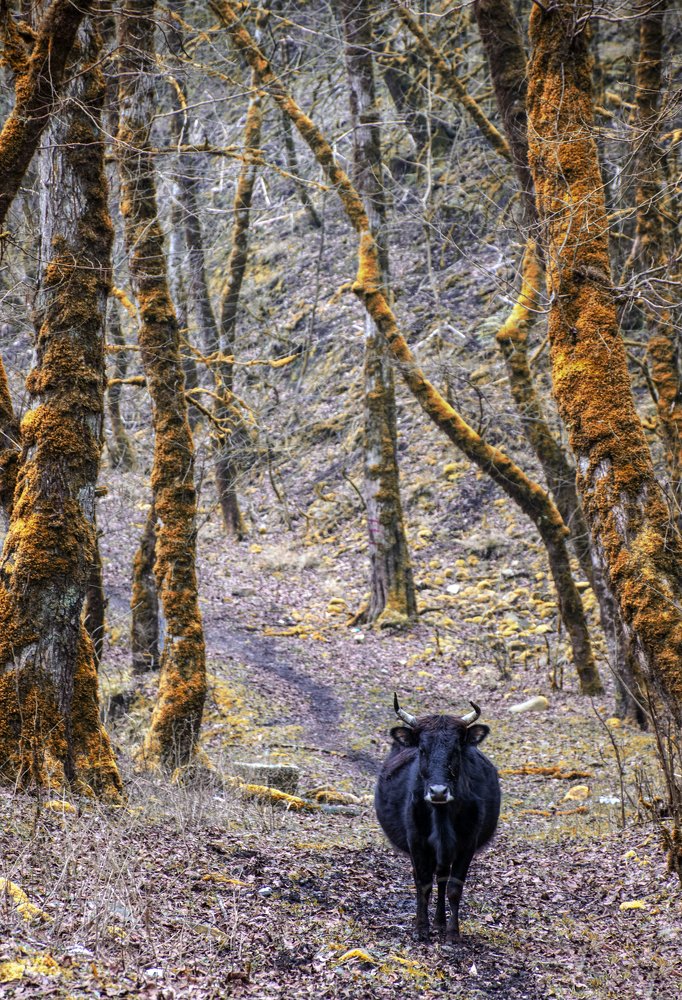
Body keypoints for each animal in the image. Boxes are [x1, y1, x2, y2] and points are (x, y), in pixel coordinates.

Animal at [375, 694, 500, 942]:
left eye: (456, 749)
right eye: (422, 749)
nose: (439, 792)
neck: (441, 818)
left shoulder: (467, 844)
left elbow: (454, 887)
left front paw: (452, 933)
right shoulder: (416, 842)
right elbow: (423, 883)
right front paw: (421, 929)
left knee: (442, 878)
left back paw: (440, 923)